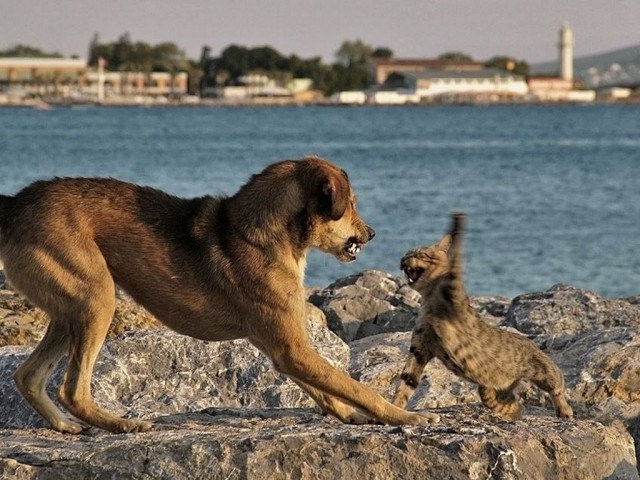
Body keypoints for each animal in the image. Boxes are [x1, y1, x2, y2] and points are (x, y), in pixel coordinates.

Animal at [0, 156, 440, 434]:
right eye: (350, 205)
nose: (372, 233)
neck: (265, 235)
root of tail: (15, 205)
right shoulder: (293, 349)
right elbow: (356, 386)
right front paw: (404, 417)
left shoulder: (283, 350)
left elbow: (327, 390)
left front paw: (352, 416)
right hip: (97, 299)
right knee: (71, 388)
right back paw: (121, 424)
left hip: (69, 310)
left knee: (28, 376)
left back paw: (64, 426)